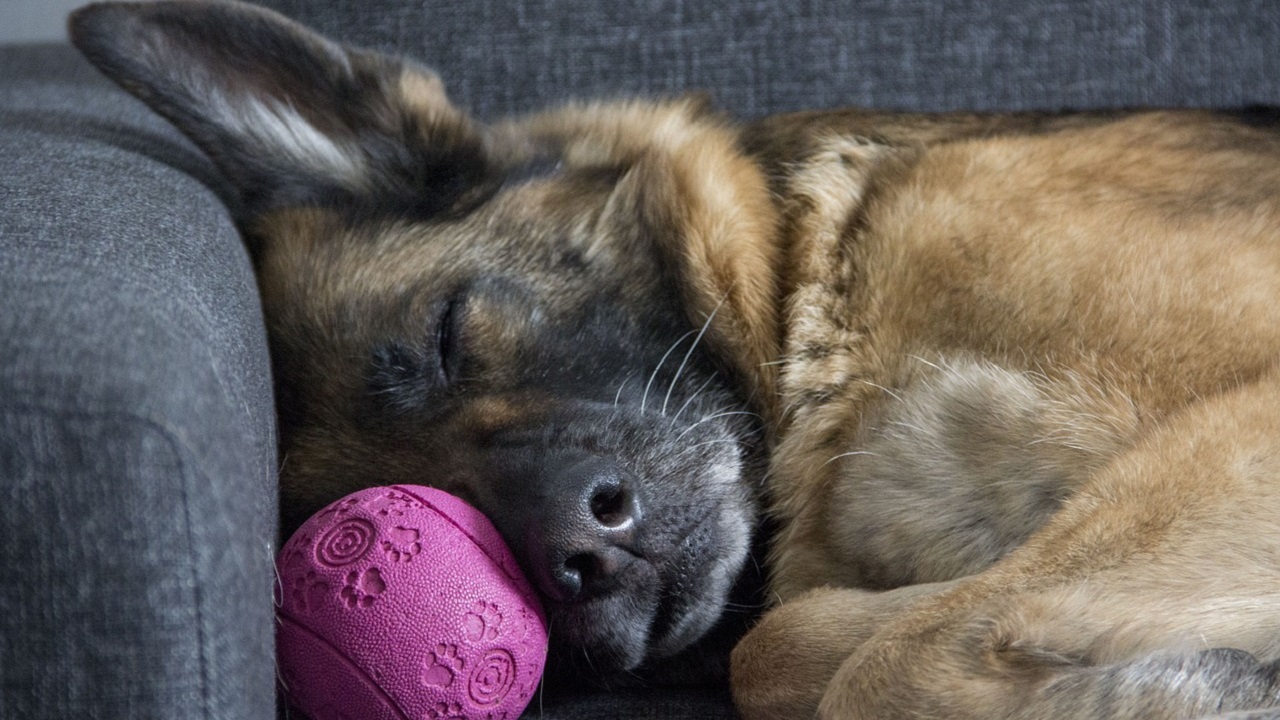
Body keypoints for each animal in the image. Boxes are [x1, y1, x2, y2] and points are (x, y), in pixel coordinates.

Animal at [70, 1, 1280, 717]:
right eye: (396, 502)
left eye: (446, 334)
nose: (578, 559)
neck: (811, 275)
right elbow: (792, 647)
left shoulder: (1244, 419)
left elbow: (890, 653)